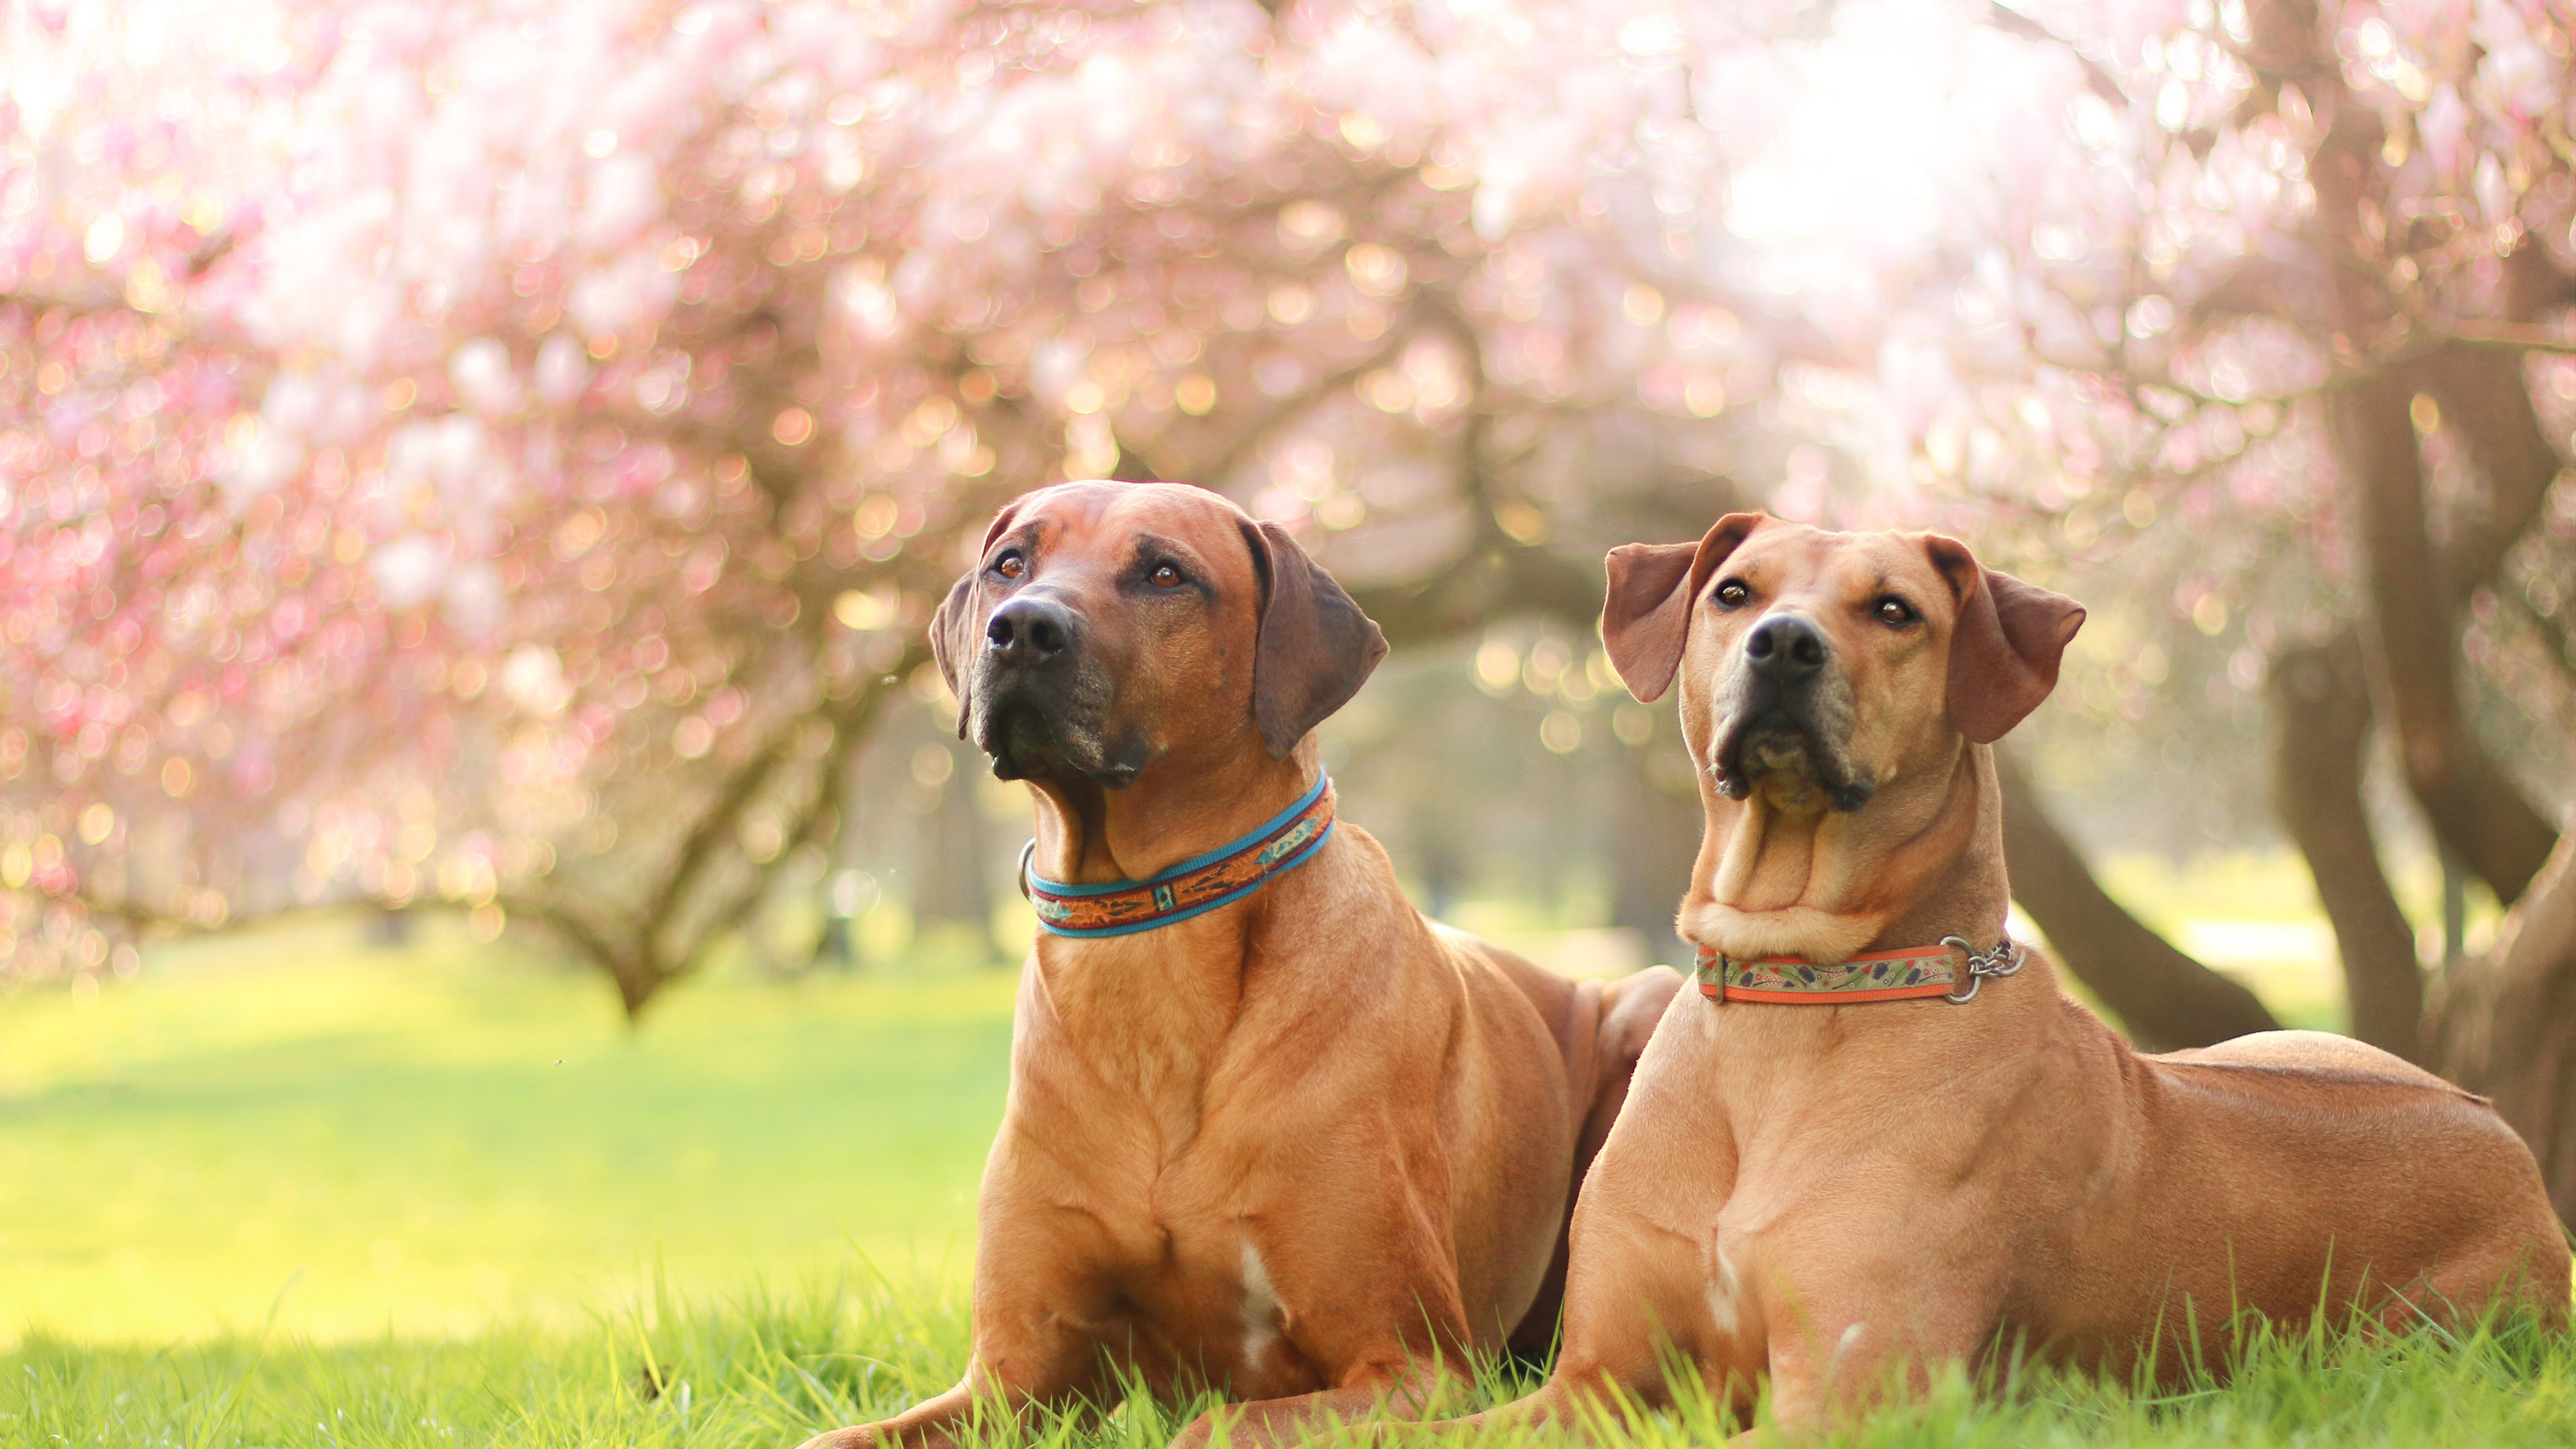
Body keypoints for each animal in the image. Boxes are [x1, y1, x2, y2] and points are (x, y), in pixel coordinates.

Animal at [793, 482, 1679, 1444]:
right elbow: (837, 1435)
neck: (1147, 944)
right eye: (1010, 564)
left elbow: (1214, 1422)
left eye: (1165, 574)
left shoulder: (1416, 1367)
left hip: (1652, 1004)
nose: (1022, 628)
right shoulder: (1011, 1379)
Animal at [1411, 510, 2576, 1433]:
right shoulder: (1592, 1378)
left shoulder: (1851, 1397)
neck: (1798, 995)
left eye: (1894, 610)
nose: (1782, 644)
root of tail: (2514, 1150)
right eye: (1735, 593)